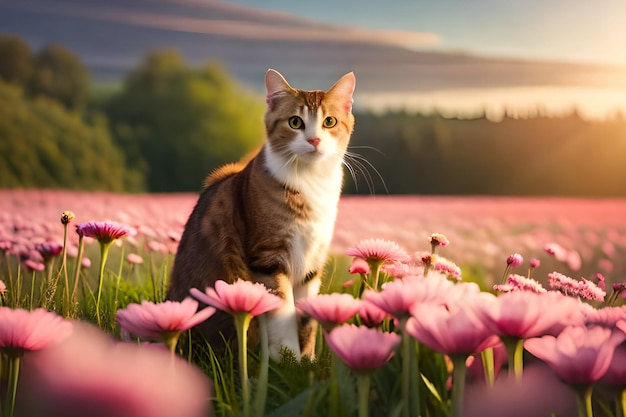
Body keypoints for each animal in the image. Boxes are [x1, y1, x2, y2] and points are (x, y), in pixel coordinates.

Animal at [167, 68, 356, 358]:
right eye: (295, 122)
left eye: (330, 121)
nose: (314, 139)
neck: (310, 181)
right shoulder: (268, 257)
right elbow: (283, 313)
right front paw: (288, 359)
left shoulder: (312, 263)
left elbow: (306, 318)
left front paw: (307, 359)